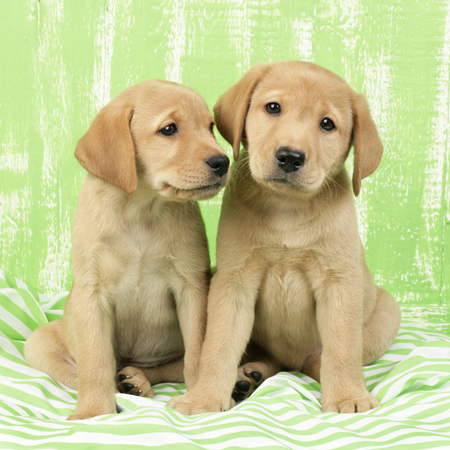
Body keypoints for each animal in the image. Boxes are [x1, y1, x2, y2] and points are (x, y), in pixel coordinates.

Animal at [24, 79, 229, 420]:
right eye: (169, 129)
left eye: (210, 127)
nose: (223, 162)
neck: (141, 211)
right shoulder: (91, 293)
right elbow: (94, 363)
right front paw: (93, 412)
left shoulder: (192, 287)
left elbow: (197, 353)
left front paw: (198, 397)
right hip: (38, 342)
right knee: (81, 371)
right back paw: (120, 385)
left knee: (165, 368)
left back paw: (137, 380)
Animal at [168, 60, 400, 414]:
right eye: (273, 107)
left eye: (327, 124)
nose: (290, 157)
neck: (287, 210)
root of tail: (293, 363)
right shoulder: (233, 282)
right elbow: (217, 346)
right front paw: (204, 397)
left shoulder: (339, 282)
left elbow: (343, 348)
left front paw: (348, 396)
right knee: (271, 359)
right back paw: (248, 376)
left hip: (387, 312)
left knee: (322, 359)